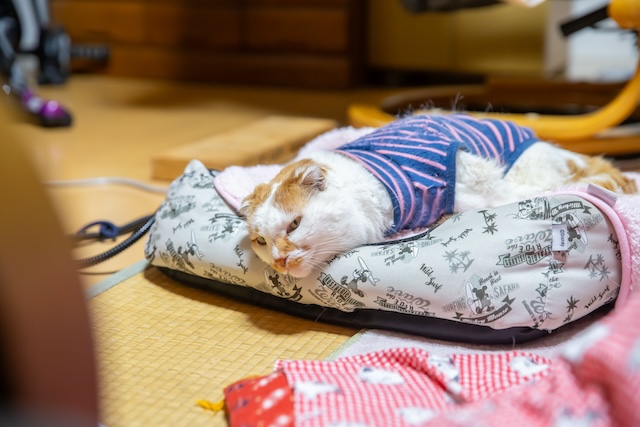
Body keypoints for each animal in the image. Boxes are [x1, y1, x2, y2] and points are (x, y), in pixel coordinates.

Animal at [239, 115, 636, 280]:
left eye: (295, 224)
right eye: (261, 242)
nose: (279, 262)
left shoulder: (466, 172)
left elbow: (493, 194)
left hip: (532, 166)